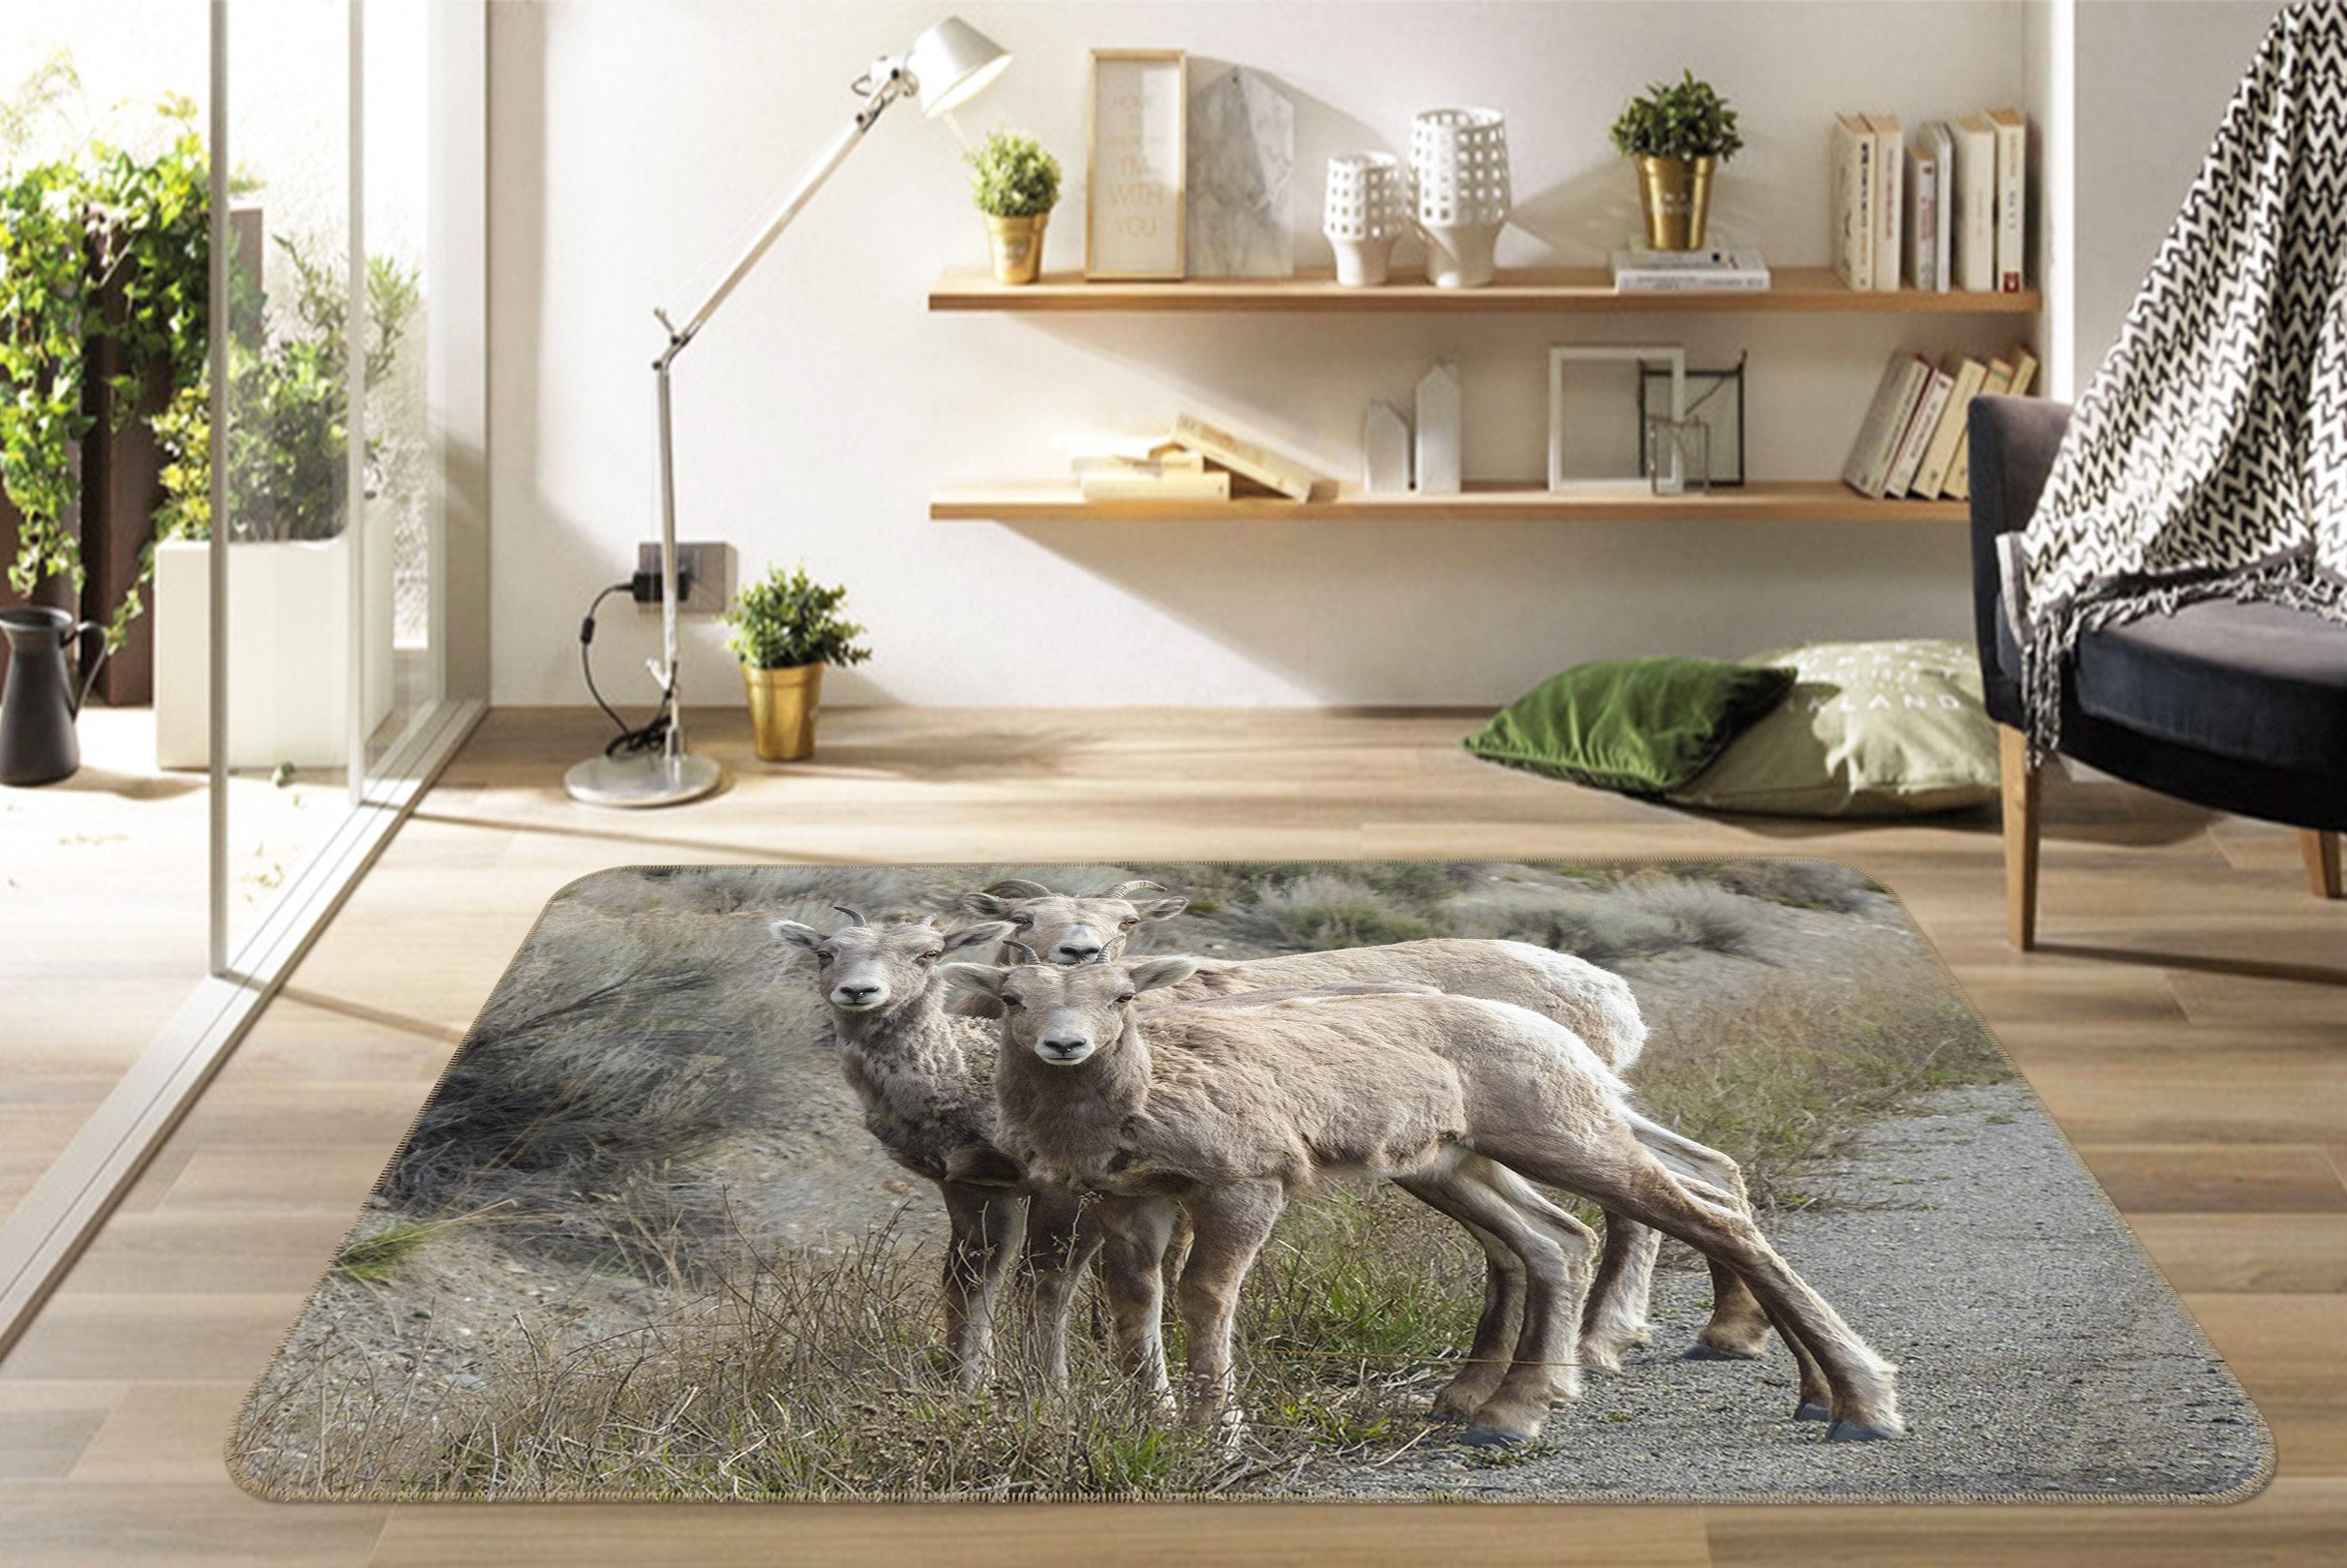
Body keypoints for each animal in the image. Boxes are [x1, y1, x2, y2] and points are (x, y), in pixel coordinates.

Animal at [768, 909, 1101, 1392]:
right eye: (825, 953)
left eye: (928, 954)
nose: (859, 991)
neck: (965, 1077)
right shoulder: (972, 1184)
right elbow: (969, 1280)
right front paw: (970, 1387)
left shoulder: (1071, 1192)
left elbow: (1047, 1284)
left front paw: (1049, 1392)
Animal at [948, 955, 1903, 1448]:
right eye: (1012, 998)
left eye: (1120, 996)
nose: (1064, 1046)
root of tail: (1574, 1028)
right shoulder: (1130, 1205)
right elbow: (1133, 1304)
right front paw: (1151, 1421)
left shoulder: (1245, 1188)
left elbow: (1203, 1299)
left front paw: (1213, 1430)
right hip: (1455, 1168)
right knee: (1556, 1239)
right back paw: (1507, 1417)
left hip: (1563, 1141)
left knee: (1714, 1221)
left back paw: (1859, 1408)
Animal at [963, 877, 1777, 1379]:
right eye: (1023, 921)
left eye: (1125, 924)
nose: (1079, 953)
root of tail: (1607, 989)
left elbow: (1086, 1277)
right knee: (1701, 1175)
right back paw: (1712, 1333)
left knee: (1636, 1202)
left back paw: (1599, 1345)